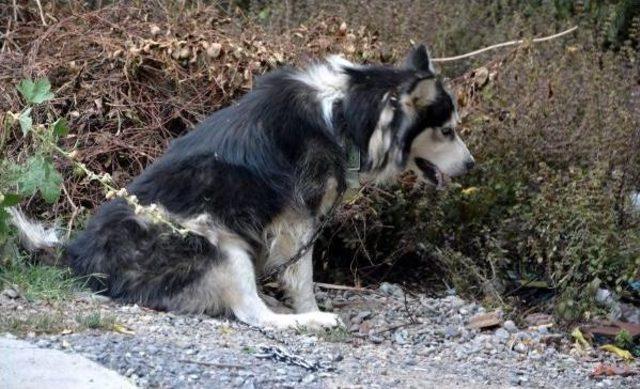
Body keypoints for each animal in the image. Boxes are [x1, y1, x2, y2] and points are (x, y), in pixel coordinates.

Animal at [8, 46, 476, 330]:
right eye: (448, 131)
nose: (472, 165)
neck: (344, 111)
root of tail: (79, 258)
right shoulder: (297, 221)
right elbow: (302, 276)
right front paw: (311, 310)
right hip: (217, 241)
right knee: (254, 315)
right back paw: (303, 322)